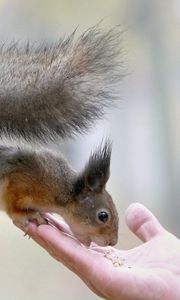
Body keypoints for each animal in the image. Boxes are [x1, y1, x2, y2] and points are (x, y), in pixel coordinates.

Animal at [0, 25, 124, 246]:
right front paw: (26, 215)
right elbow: (13, 206)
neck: (63, 192)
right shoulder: (19, 181)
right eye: (103, 215)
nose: (112, 242)